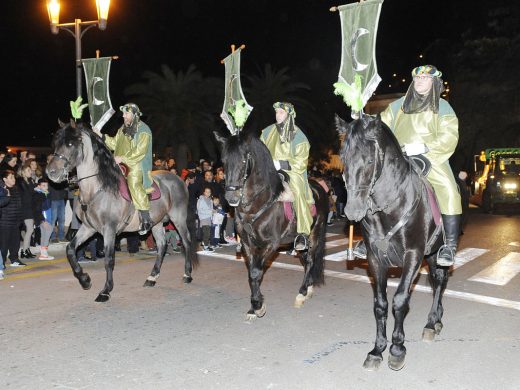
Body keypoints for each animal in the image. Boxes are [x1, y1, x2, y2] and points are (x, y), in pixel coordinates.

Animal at [46, 120, 198, 304]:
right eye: (56, 143)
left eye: (70, 144)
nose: (51, 172)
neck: (97, 189)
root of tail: (179, 180)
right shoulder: (88, 228)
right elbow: (70, 249)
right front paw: (84, 280)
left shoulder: (109, 230)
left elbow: (109, 260)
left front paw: (105, 291)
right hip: (156, 222)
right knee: (162, 245)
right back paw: (152, 277)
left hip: (178, 218)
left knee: (187, 241)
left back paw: (187, 274)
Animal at [215, 131, 330, 320]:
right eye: (223, 161)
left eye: (244, 161)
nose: (231, 198)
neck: (256, 205)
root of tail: (320, 188)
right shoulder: (247, 243)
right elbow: (252, 273)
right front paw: (254, 306)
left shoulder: (270, 244)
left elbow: (256, 272)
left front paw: (257, 305)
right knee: (306, 259)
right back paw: (309, 288)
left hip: (315, 234)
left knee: (311, 260)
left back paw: (302, 293)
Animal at [338, 114, 450, 370]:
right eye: (343, 159)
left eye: (370, 159)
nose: (352, 211)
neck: (389, 207)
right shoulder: (375, 259)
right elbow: (381, 304)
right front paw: (377, 349)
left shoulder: (413, 255)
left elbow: (400, 300)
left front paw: (397, 348)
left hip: (434, 253)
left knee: (439, 280)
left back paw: (432, 322)